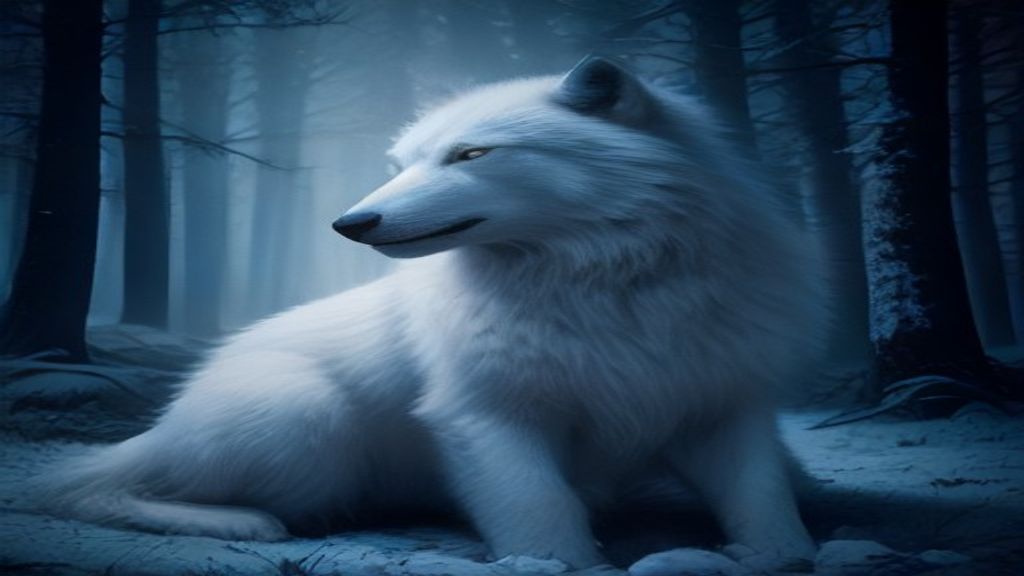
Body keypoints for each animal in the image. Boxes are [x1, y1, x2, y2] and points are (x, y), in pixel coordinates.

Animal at [43, 57, 827, 571]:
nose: (349, 223)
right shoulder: (484, 415)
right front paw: (558, 562)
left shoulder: (722, 405)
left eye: (471, 154)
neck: (608, 282)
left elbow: (764, 502)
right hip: (306, 422)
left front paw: (780, 553)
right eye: (404, 163)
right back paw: (248, 520)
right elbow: (541, 514)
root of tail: (172, 416)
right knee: (89, 488)